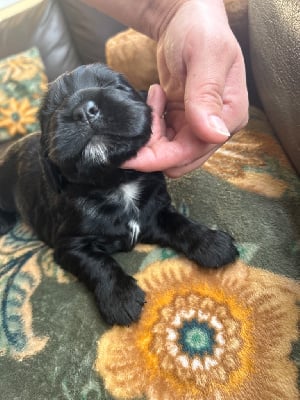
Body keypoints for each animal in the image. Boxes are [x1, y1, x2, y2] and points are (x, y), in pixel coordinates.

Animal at [0, 63, 239, 324]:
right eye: (53, 109)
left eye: (113, 85)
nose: (83, 110)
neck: (116, 182)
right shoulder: (70, 245)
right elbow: (98, 263)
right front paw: (120, 297)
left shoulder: (156, 213)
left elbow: (181, 223)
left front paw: (211, 243)